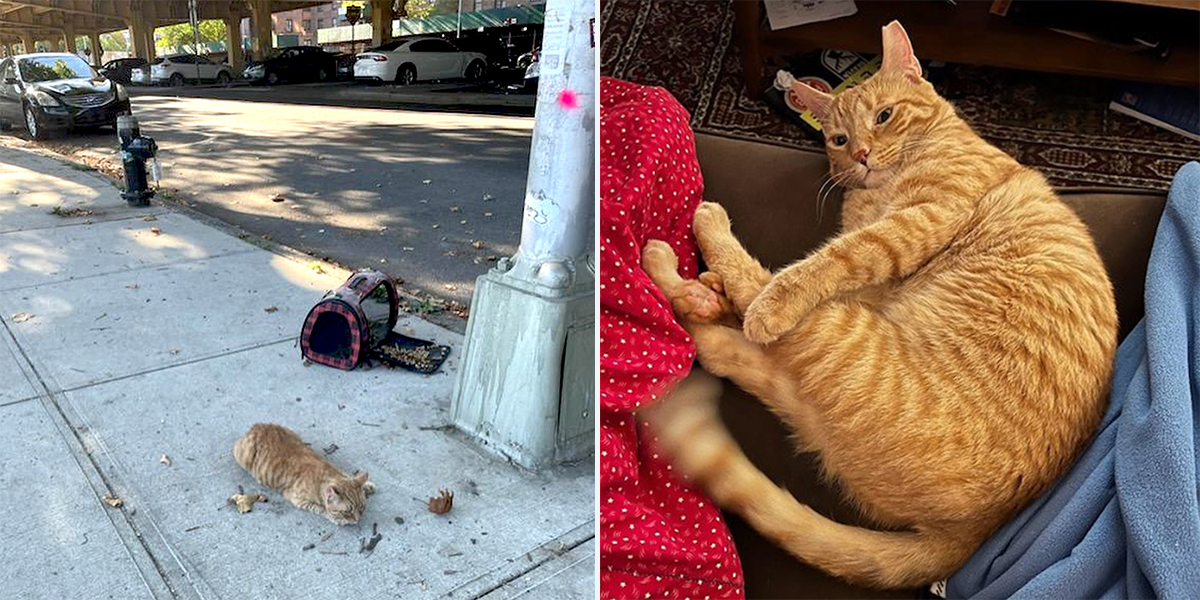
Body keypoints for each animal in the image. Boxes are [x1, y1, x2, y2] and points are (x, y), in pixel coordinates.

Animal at [643, 19, 1118, 590]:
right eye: (839, 140)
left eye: (884, 117)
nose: (863, 156)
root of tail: (973, 534)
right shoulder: (873, 276)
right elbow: (827, 267)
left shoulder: (916, 222)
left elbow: (824, 264)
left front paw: (771, 299)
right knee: (735, 356)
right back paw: (699, 293)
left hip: (850, 342)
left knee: (747, 317)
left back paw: (693, 260)